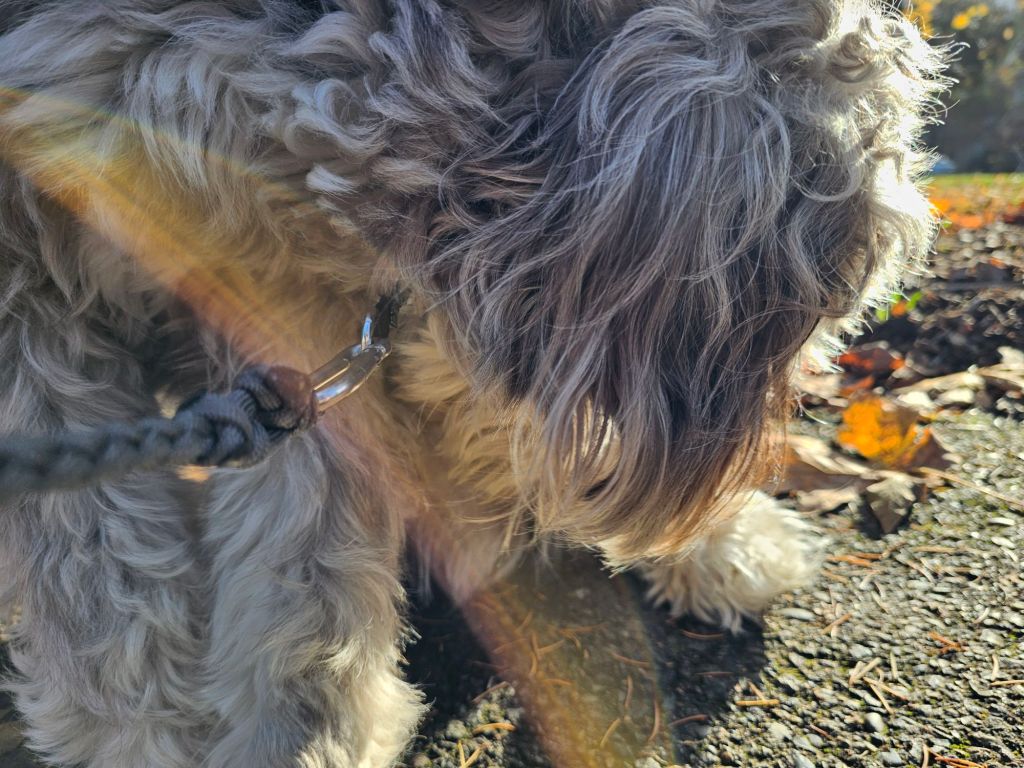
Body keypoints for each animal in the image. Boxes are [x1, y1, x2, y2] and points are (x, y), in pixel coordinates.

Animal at [0, 1, 945, 766]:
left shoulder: (289, 310)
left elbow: (302, 558)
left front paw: (308, 739)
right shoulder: (43, 318)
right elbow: (100, 586)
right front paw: (153, 741)